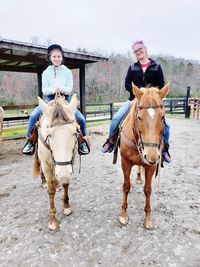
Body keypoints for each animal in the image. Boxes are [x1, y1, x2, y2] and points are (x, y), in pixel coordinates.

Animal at [32, 93, 78, 230]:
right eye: (49, 135)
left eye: (74, 133)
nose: (62, 174)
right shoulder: (46, 164)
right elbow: (51, 190)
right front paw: (52, 219)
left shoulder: (69, 163)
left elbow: (66, 183)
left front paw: (66, 207)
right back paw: (44, 181)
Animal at [119, 84, 170, 230]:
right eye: (139, 117)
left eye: (163, 117)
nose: (151, 156)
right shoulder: (125, 162)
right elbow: (126, 186)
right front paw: (123, 213)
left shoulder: (150, 166)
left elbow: (148, 190)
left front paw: (148, 217)